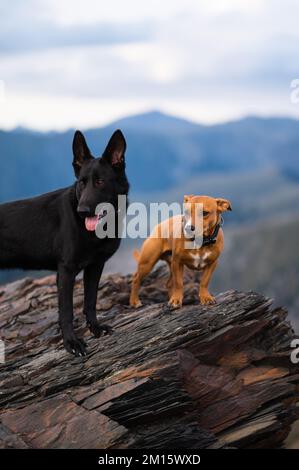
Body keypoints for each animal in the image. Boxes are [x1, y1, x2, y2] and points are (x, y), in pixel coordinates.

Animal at [0, 130, 129, 354]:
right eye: (82, 183)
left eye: (100, 182)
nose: (82, 211)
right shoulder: (66, 272)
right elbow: (67, 311)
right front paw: (71, 343)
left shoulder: (95, 266)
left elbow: (90, 301)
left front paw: (95, 328)